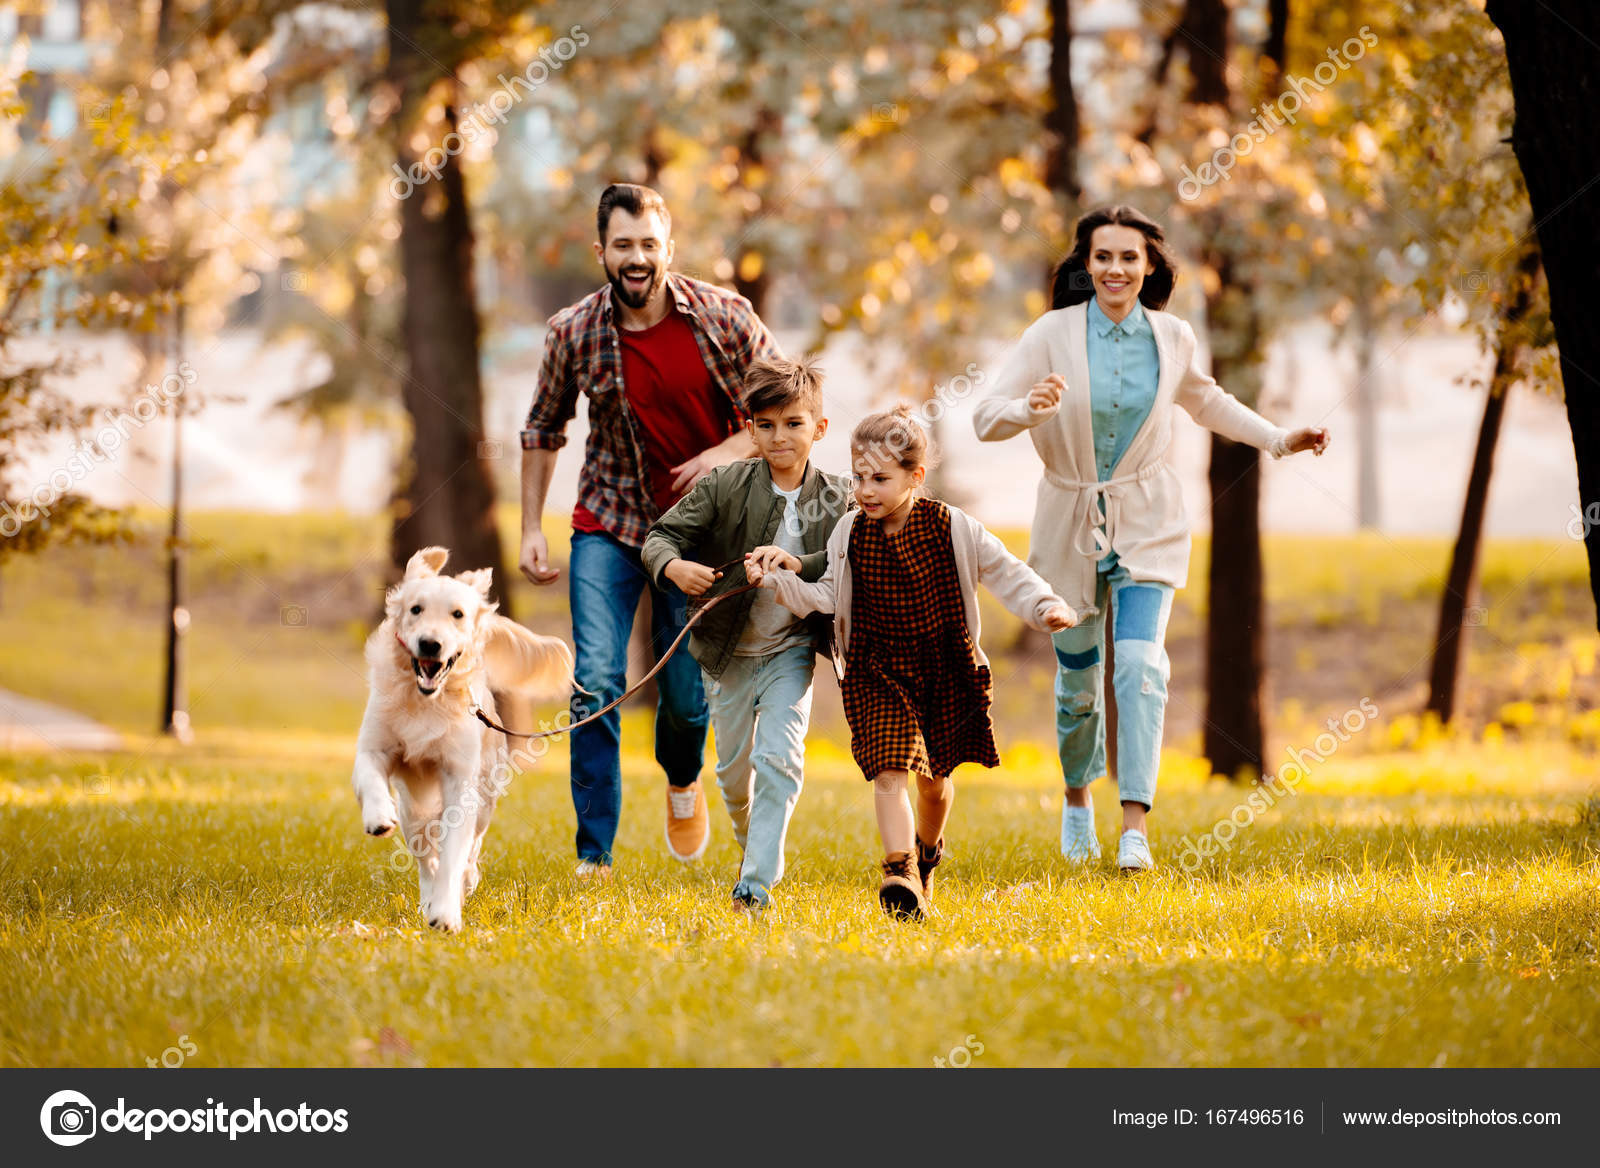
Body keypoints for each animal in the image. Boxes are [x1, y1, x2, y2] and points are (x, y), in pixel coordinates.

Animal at [355, 544, 576, 928]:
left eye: (457, 614)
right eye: (416, 609)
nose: (430, 644)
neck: (427, 700)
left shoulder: (460, 783)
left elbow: (455, 855)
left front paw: (446, 912)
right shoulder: (374, 746)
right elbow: (370, 775)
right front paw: (378, 816)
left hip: (484, 797)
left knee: (471, 846)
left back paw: (465, 882)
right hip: (414, 810)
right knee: (425, 857)